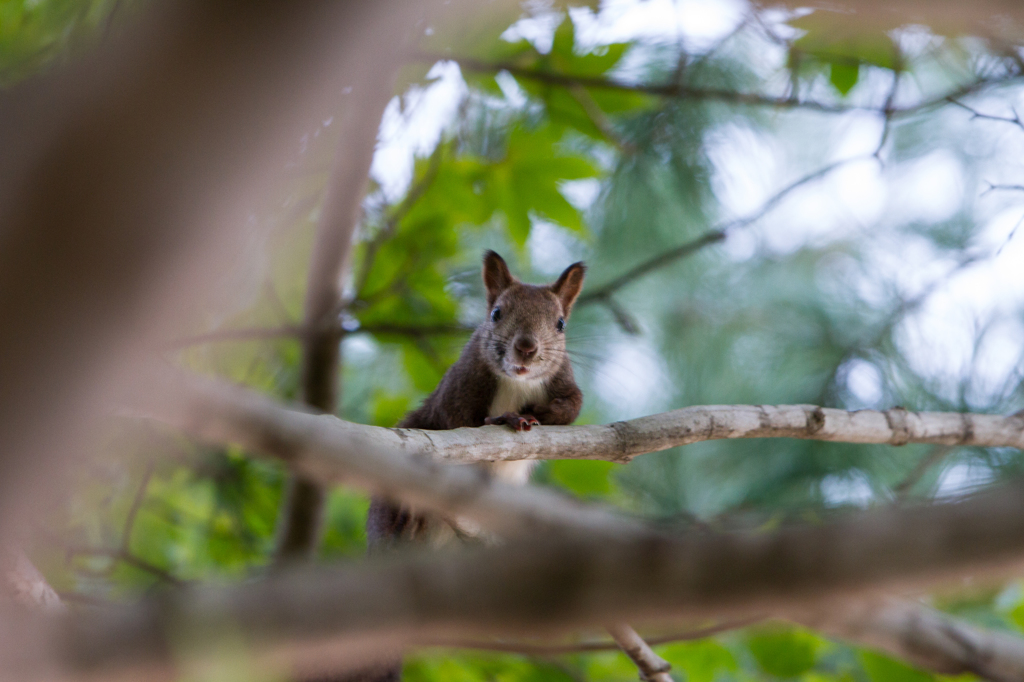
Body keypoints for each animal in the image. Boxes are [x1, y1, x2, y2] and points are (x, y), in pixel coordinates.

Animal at [366, 246, 585, 544]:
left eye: (560, 323)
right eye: (496, 313)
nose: (526, 347)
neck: (517, 382)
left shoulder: (564, 380)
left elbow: (573, 407)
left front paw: (544, 412)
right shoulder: (458, 387)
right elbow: (460, 422)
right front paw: (505, 419)